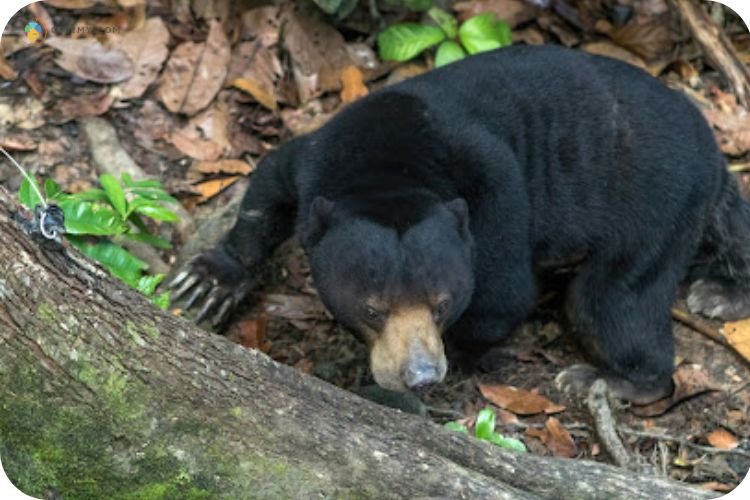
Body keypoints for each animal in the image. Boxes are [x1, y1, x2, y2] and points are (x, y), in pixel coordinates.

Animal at [170, 45, 750, 404]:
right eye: (372, 308)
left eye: (441, 304)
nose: (422, 376)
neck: (392, 165)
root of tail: (715, 155)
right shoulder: (316, 159)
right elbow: (269, 183)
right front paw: (205, 284)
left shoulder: (498, 198)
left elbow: (504, 295)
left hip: (655, 207)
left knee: (609, 300)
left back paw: (604, 379)